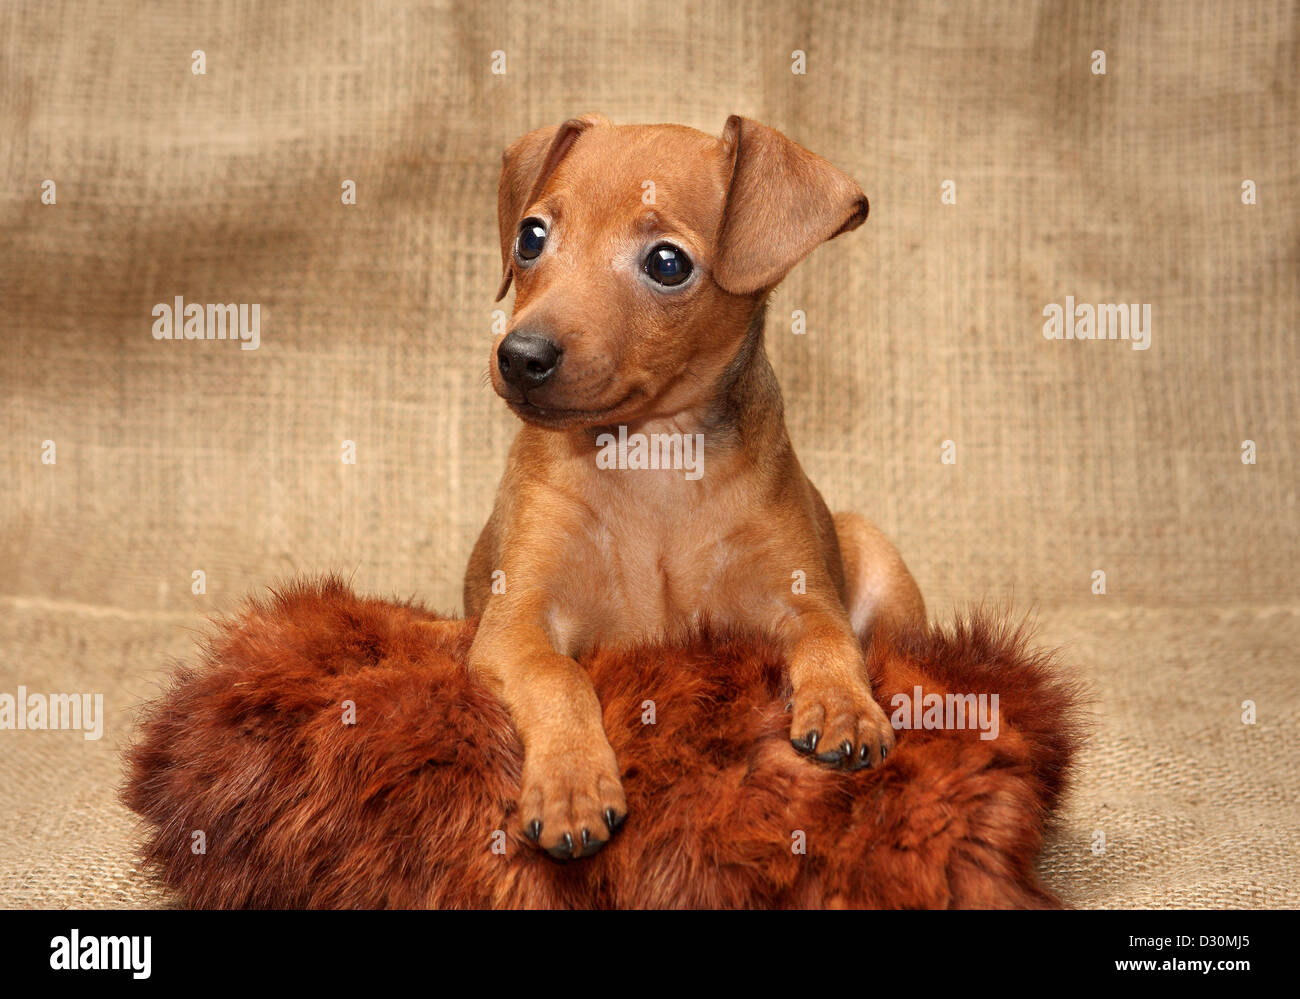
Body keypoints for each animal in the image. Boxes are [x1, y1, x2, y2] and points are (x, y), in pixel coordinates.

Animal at [465, 111, 925, 858]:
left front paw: (847, 706)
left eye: (667, 263)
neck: (654, 455)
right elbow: (558, 675)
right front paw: (571, 783)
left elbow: (831, 640)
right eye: (530, 238)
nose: (520, 356)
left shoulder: (801, 601)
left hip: (876, 556)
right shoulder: (514, 625)